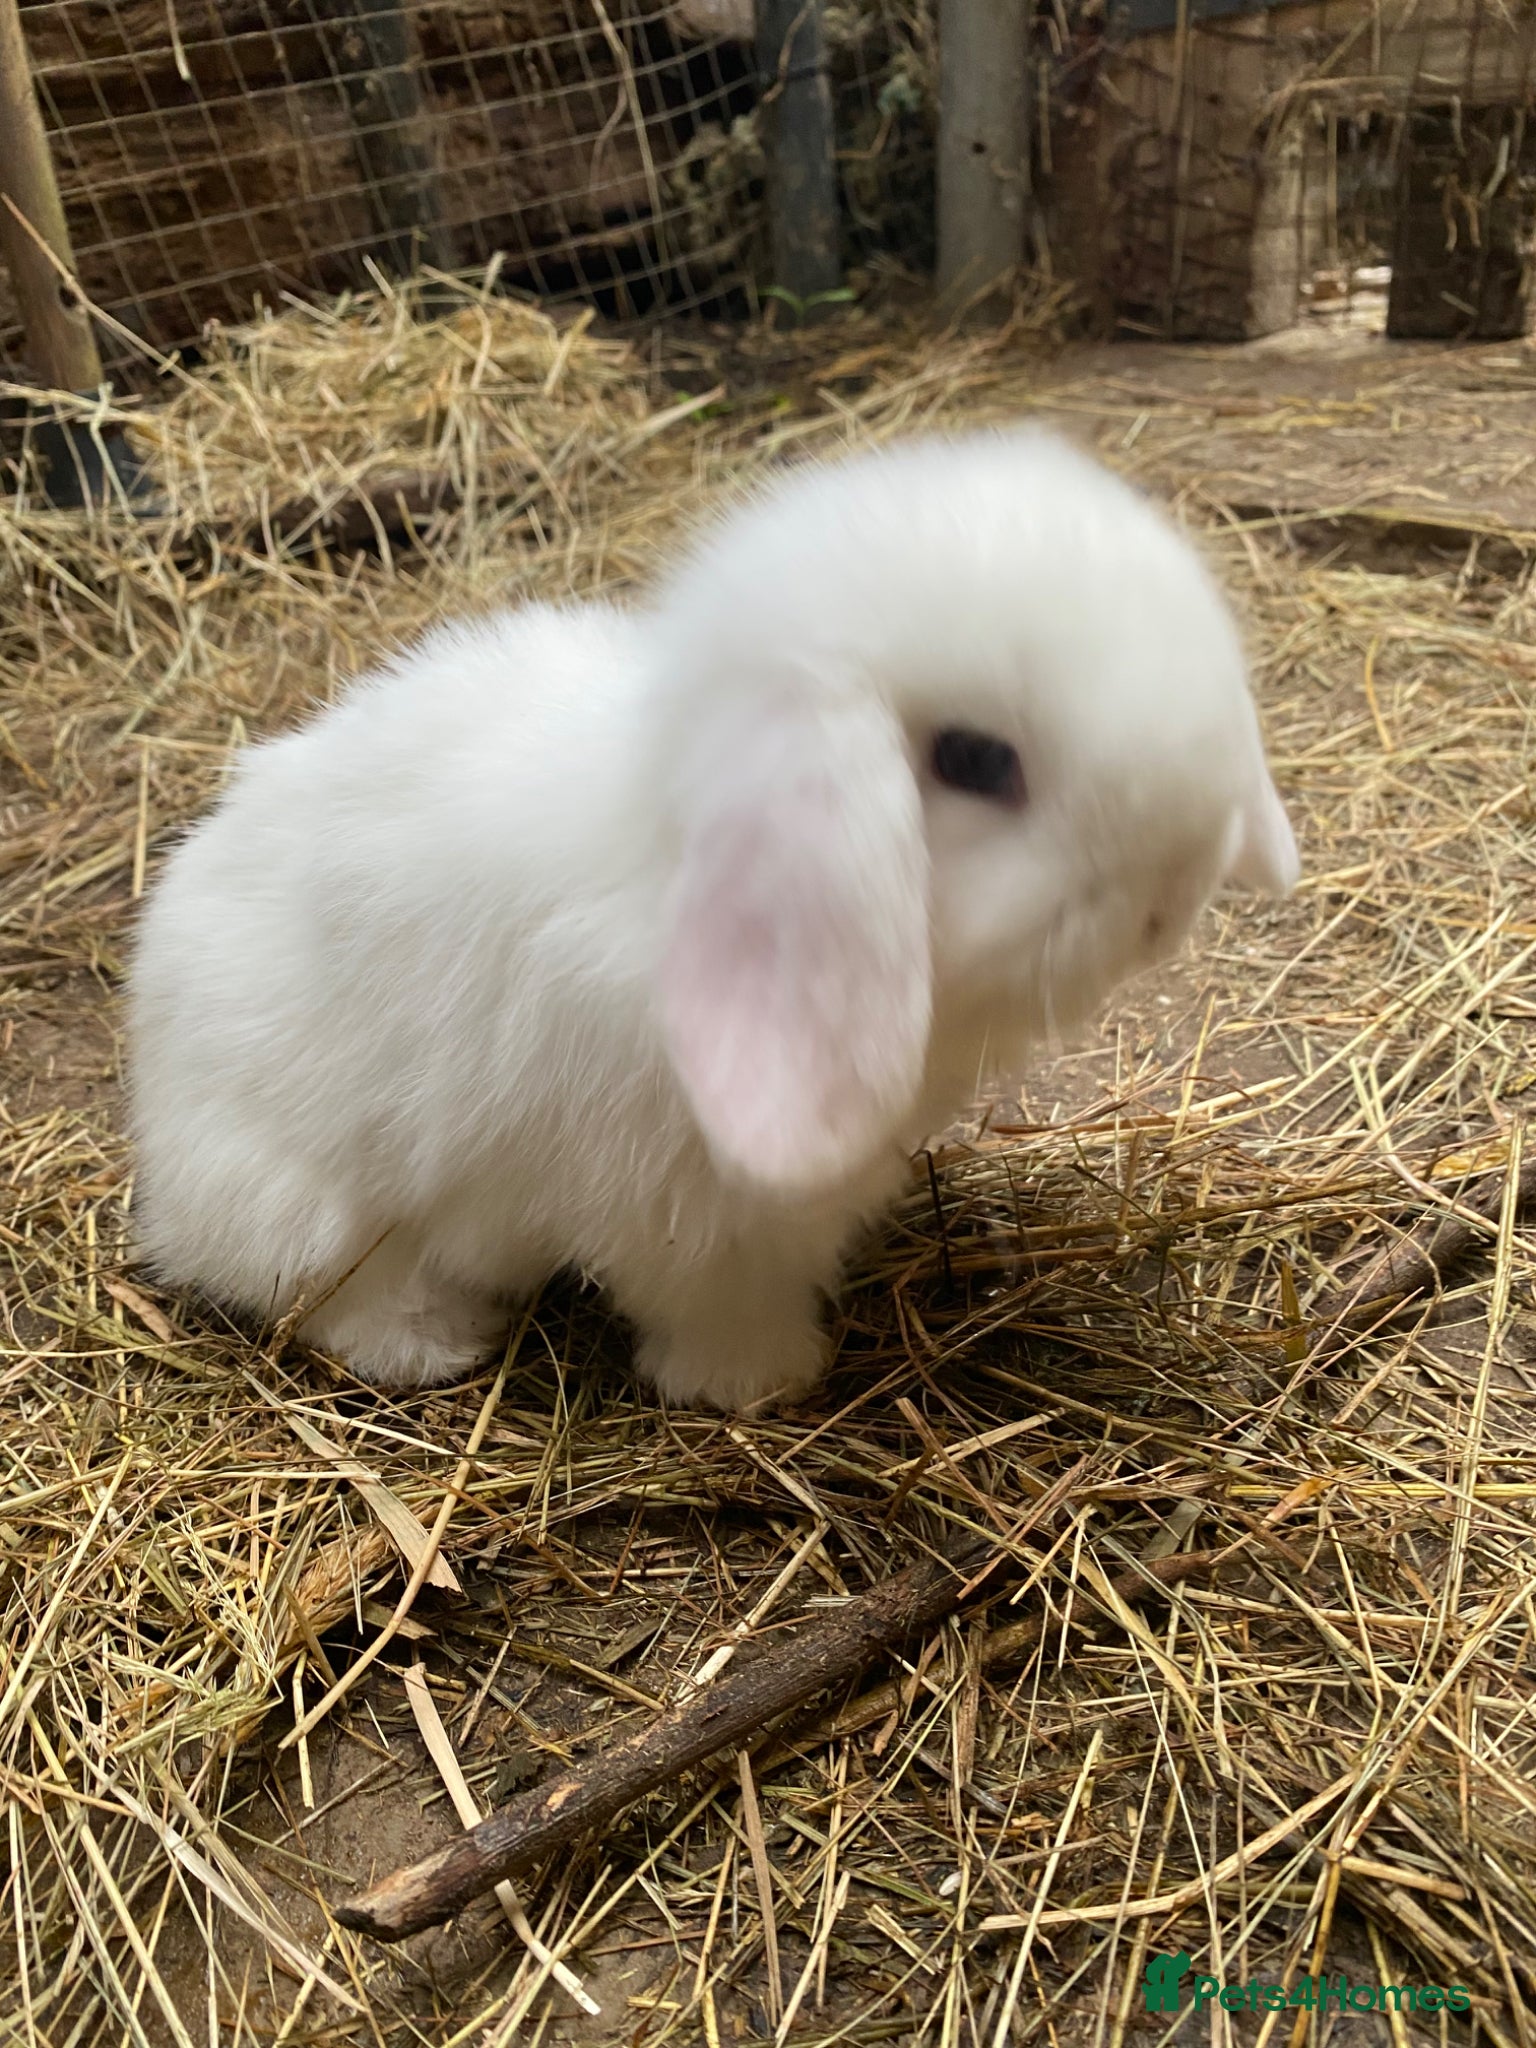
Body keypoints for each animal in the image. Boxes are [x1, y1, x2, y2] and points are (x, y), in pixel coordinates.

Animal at [126, 424, 1298, 1411]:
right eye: (975, 760)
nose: (1172, 896)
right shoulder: (681, 1209)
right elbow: (713, 1298)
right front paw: (763, 1381)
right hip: (301, 1200)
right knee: (325, 1292)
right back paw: (436, 1342)